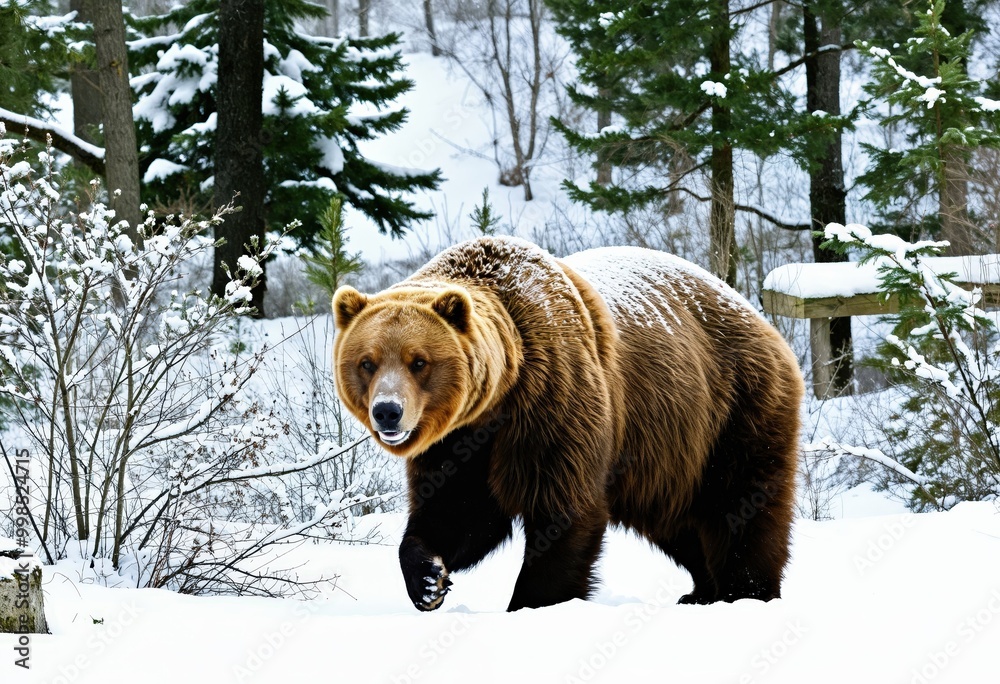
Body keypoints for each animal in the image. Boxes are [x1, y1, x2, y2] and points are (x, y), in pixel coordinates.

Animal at [336, 238, 804, 612]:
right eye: (367, 362)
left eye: (419, 361)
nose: (388, 411)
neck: (498, 401)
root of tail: (758, 315)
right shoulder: (458, 442)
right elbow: (455, 510)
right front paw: (429, 579)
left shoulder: (552, 399)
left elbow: (561, 511)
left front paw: (530, 603)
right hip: (669, 455)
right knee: (680, 520)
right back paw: (700, 591)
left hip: (730, 408)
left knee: (740, 505)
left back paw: (745, 592)